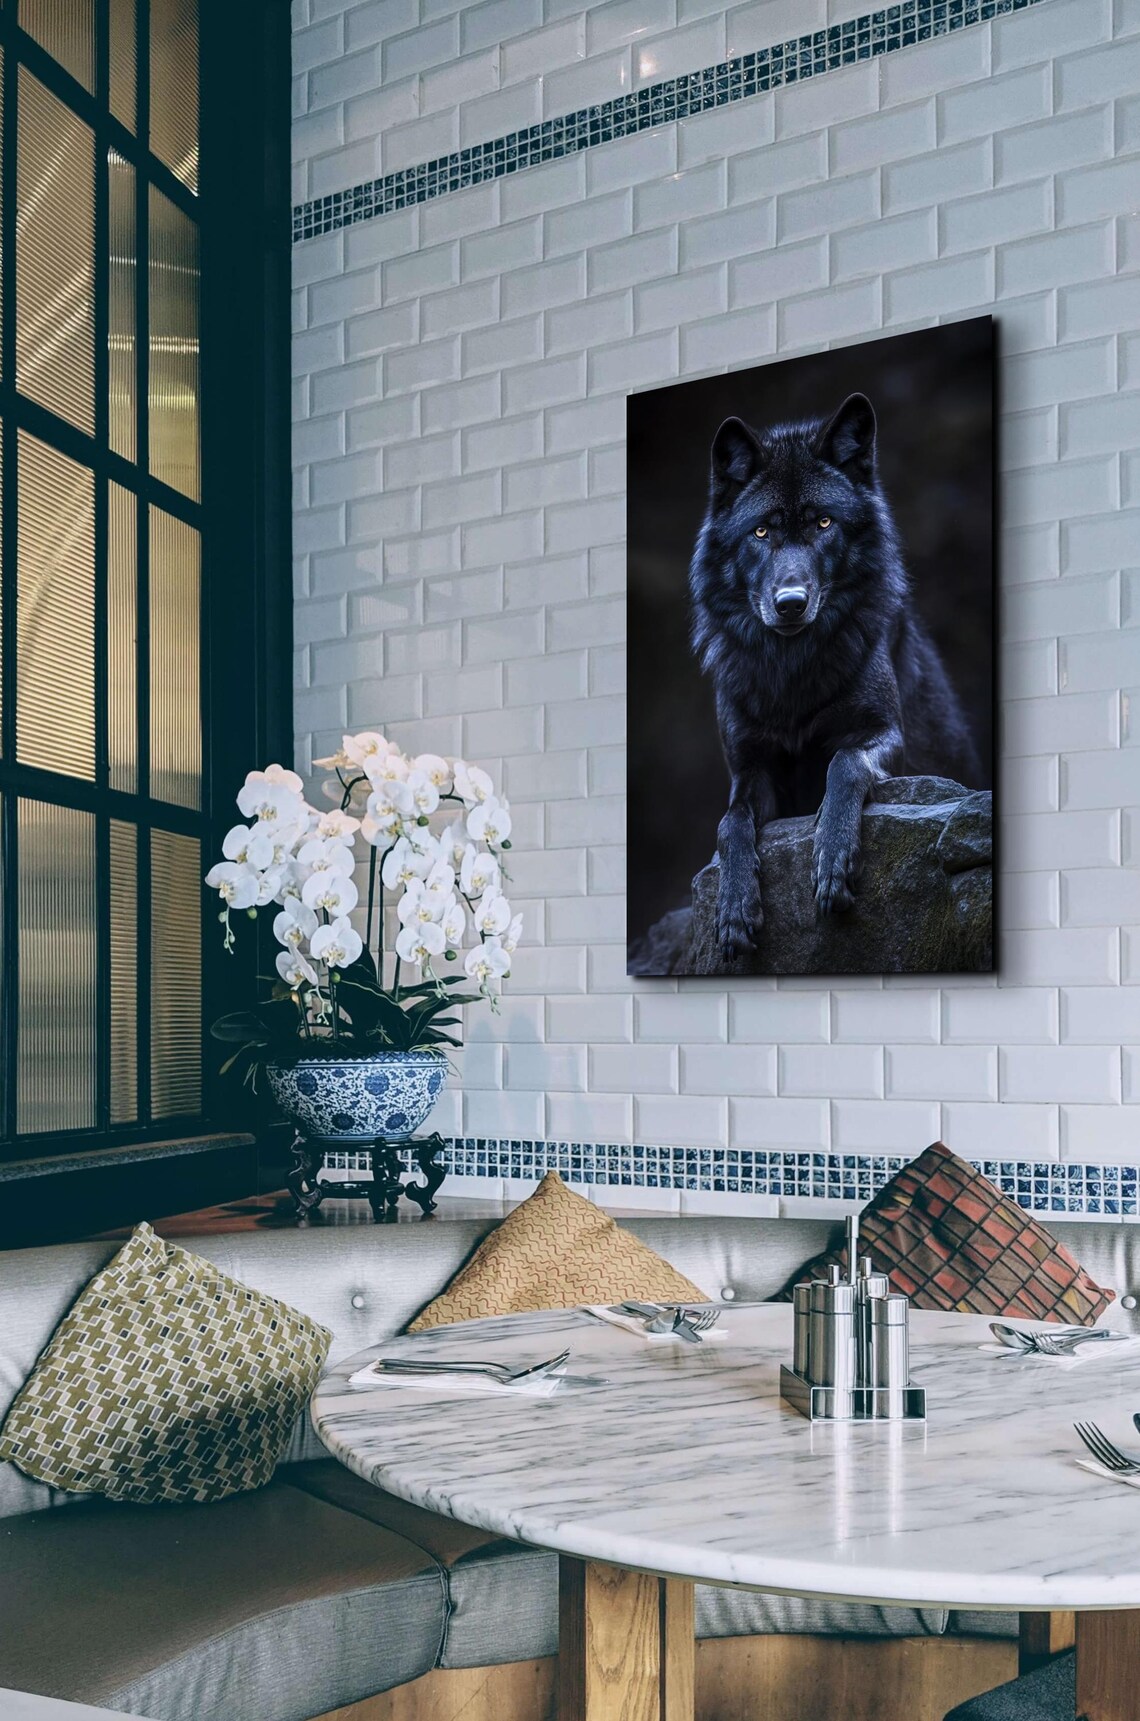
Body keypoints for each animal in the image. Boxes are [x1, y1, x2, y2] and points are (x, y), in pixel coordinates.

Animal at [689, 392, 981, 964]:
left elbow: (843, 764)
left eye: (823, 523)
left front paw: (832, 858)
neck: (791, 673)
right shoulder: (749, 770)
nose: (790, 603)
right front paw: (733, 909)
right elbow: (728, 823)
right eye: (761, 531)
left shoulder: (884, 734)